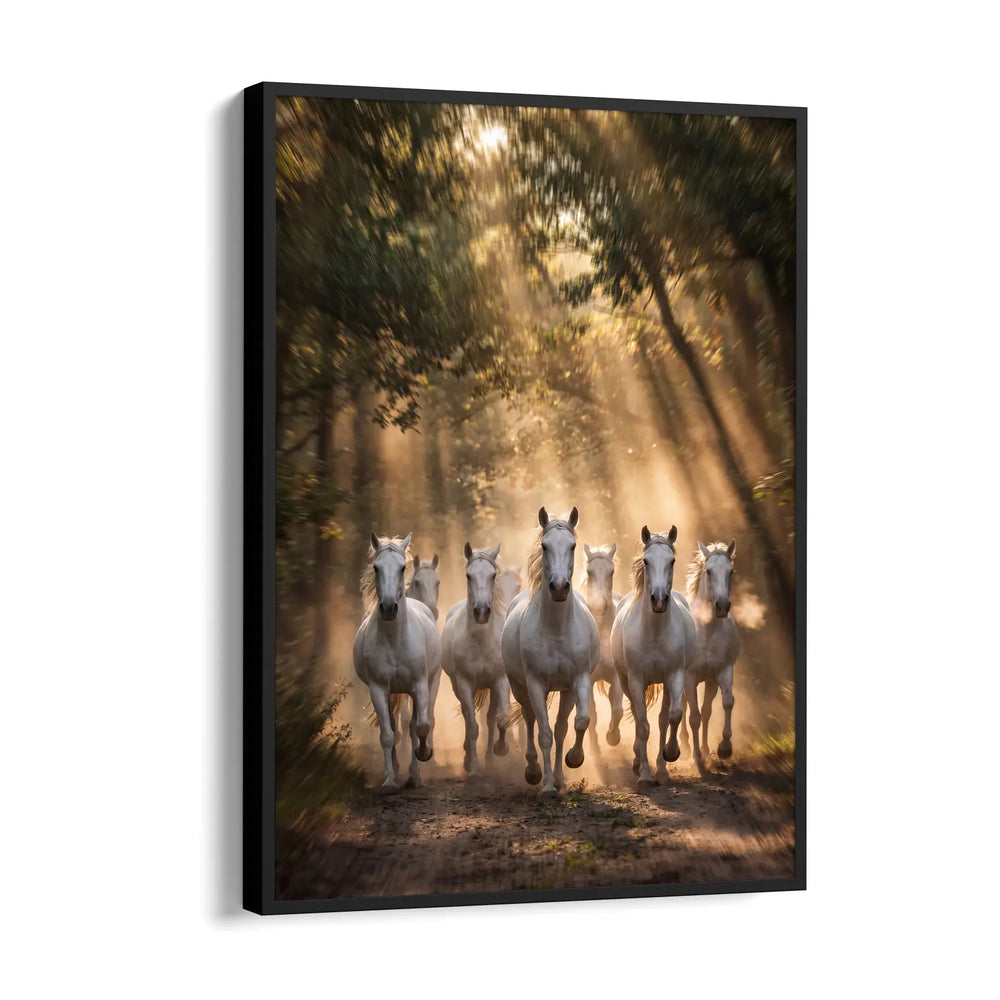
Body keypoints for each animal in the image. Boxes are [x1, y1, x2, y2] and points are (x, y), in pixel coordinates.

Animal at [352, 532, 442, 793]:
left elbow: (420, 726)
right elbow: (388, 734)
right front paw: (390, 781)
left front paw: (423, 755)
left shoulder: (420, 685)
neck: (394, 638)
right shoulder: (378, 689)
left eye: (402, 568)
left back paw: (415, 771)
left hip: (430, 684)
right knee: (393, 725)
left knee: (416, 723)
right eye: (376, 567)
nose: (389, 608)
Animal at [441, 542, 511, 777]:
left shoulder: (500, 681)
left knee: (490, 719)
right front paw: (472, 767)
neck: (481, 641)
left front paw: (500, 749)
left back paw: (490, 758)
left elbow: (501, 719)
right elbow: (472, 725)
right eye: (468, 575)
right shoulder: (464, 683)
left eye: (493, 575)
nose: (481, 612)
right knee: (467, 716)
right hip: (457, 685)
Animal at [501, 507, 600, 798]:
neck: (556, 629)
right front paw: (546, 786)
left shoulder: (578, 680)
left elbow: (578, 722)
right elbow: (543, 733)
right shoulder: (535, 684)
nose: (558, 587)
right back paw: (534, 771)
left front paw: (573, 761)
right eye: (544, 546)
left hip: (564, 691)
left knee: (560, 728)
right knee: (530, 720)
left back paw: (560, 778)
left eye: (572, 545)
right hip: (520, 688)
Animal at [610, 525, 697, 791]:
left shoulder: (674, 675)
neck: (655, 631)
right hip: (626, 682)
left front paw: (670, 754)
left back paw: (662, 769)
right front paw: (645, 775)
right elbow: (643, 725)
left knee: (662, 719)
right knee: (640, 719)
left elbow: (673, 716)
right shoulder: (636, 680)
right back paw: (639, 763)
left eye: (672, 560)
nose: (659, 599)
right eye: (646, 561)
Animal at [680, 540, 741, 771]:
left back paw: (705, 750)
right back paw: (685, 747)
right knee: (684, 707)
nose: (722, 606)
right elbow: (694, 717)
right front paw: (696, 757)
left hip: (709, 682)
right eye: (709, 571)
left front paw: (724, 748)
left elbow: (726, 703)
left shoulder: (721, 673)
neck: (706, 629)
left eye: (731, 571)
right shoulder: (689, 677)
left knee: (706, 711)